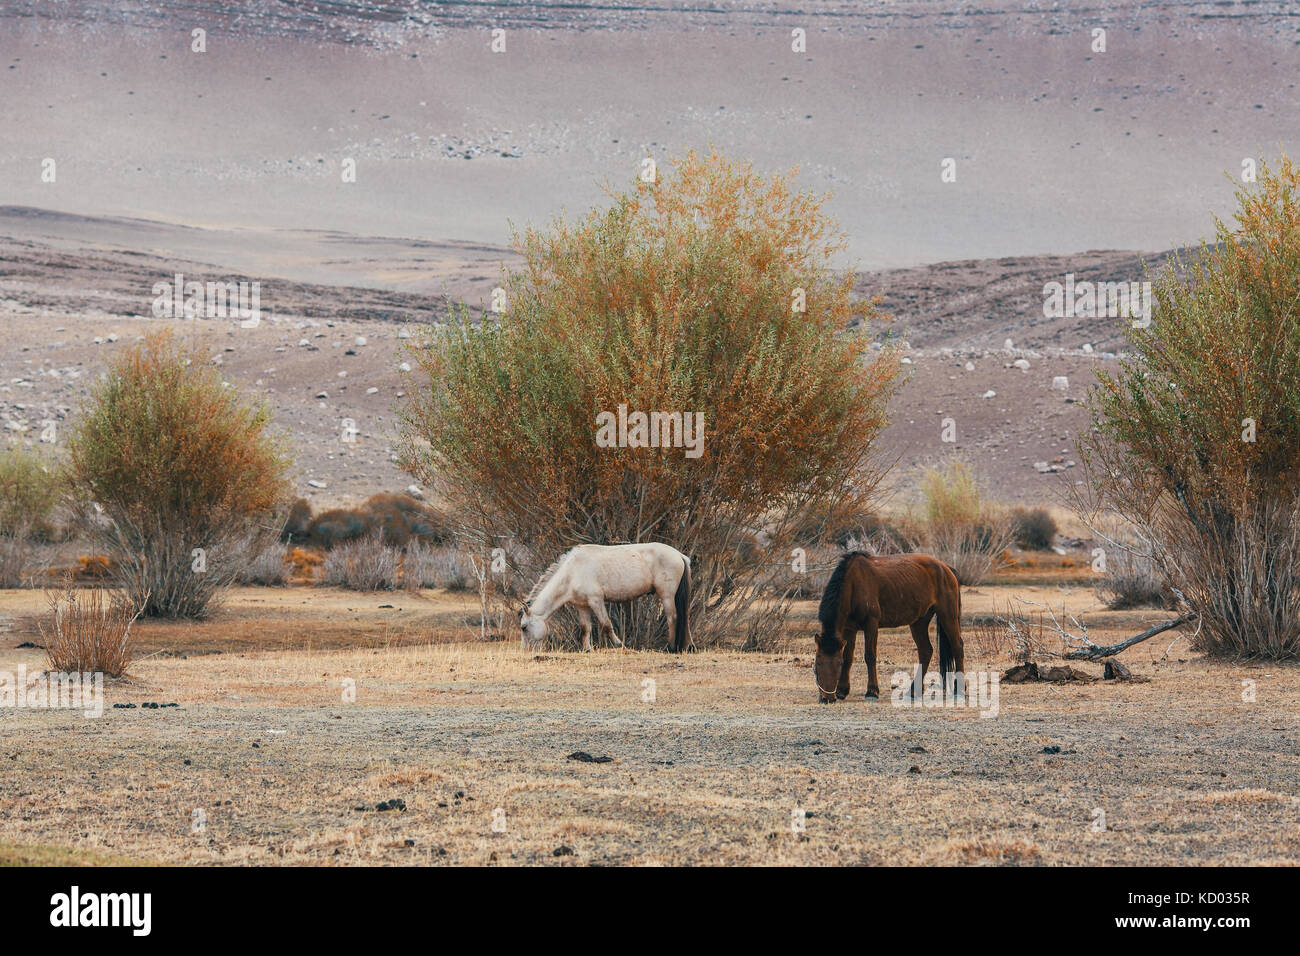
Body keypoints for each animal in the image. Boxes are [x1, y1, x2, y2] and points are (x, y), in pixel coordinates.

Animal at [520, 543, 692, 652]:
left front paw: (618, 644)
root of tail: (680, 555)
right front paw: (587, 649)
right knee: (684, 617)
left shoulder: (596, 601)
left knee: (672, 618)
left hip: (667, 595)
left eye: (524, 627)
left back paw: (670, 647)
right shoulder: (582, 606)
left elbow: (606, 624)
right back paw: (688, 647)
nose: (526, 651)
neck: (572, 572)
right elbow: (585, 628)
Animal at [813, 551, 964, 704]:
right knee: (926, 651)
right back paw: (913, 691)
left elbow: (870, 656)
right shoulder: (850, 628)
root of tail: (946, 568)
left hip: (947, 616)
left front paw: (872, 692)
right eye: (817, 662)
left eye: (838, 664)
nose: (827, 699)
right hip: (919, 622)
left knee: (957, 646)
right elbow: (848, 657)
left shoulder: (871, 624)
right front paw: (842, 691)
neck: (854, 583)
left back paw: (960, 690)